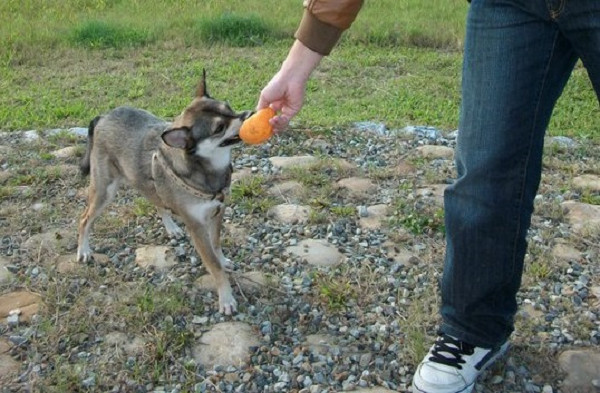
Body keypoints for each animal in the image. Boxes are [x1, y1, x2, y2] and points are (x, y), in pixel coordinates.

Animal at [77, 72, 251, 314]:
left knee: (158, 201)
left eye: (229, 107)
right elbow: (213, 265)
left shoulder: (218, 211)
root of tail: (103, 116)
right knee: (85, 219)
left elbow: (216, 244)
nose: (249, 114)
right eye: (219, 128)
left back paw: (171, 228)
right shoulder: (197, 227)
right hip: (104, 191)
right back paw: (83, 250)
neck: (208, 168)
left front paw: (223, 260)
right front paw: (226, 298)